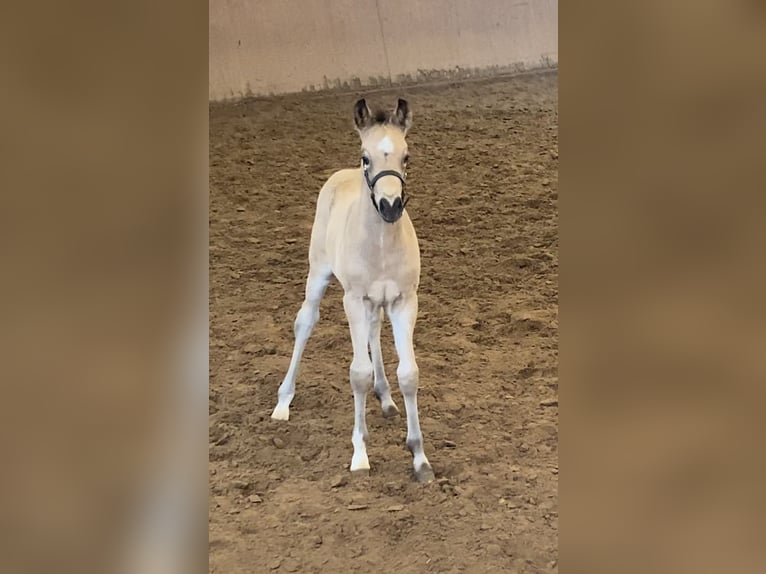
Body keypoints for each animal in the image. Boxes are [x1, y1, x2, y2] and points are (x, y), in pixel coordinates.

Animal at [272, 97, 436, 484]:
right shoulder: (354, 301)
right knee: (305, 323)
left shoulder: (404, 301)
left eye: (406, 157)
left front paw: (419, 457)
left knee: (374, 332)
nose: (391, 206)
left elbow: (409, 374)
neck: (381, 245)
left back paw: (386, 398)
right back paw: (283, 402)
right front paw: (360, 453)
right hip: (318, 273)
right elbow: (357, 374)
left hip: (378, 303)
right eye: (366, 157)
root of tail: (339, 175)